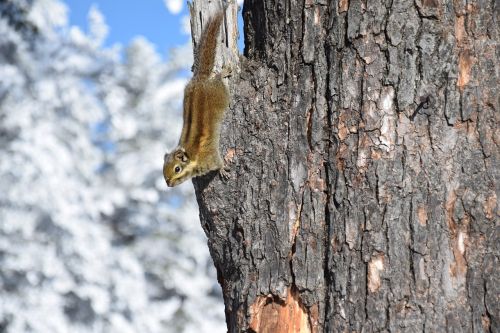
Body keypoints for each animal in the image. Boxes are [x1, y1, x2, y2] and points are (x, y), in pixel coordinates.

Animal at [163, 10, 229, 187]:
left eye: (177, 169)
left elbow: (219, 162)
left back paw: (223, 73)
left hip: (221, 94)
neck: (192, 159)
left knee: (218, 79)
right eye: (163, 170)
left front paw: (223, 169)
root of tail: (199, 78)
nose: (168, 184)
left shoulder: (211, 158)